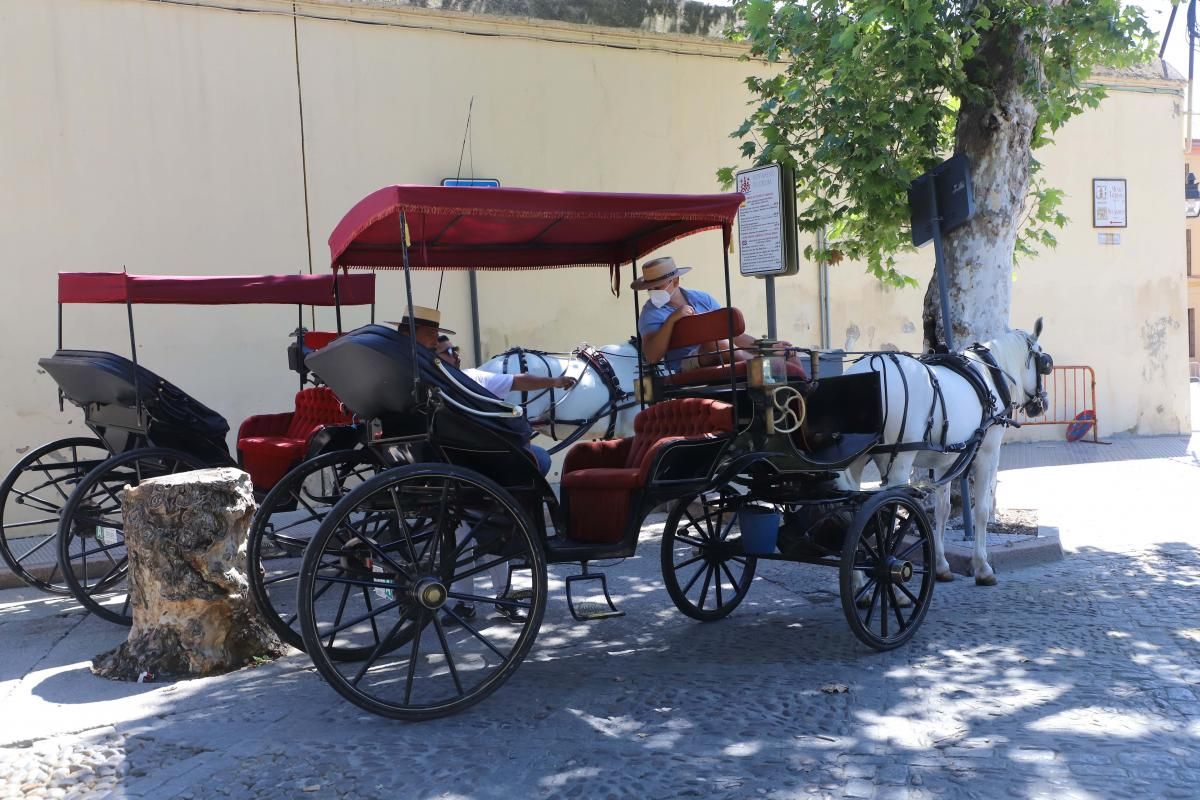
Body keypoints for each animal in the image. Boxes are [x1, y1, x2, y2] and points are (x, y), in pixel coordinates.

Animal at [840, 321, 1056, 587]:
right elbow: (981, 511)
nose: (1043, 404)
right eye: (1045, 363)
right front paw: (982, 567)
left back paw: (858, 579)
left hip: (856, 461)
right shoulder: (987, 456)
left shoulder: (945, 462)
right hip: (897, 464)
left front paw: (941, 565)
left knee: (851, 511)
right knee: (884, 513)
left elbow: (942, 511)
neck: (990, 375)